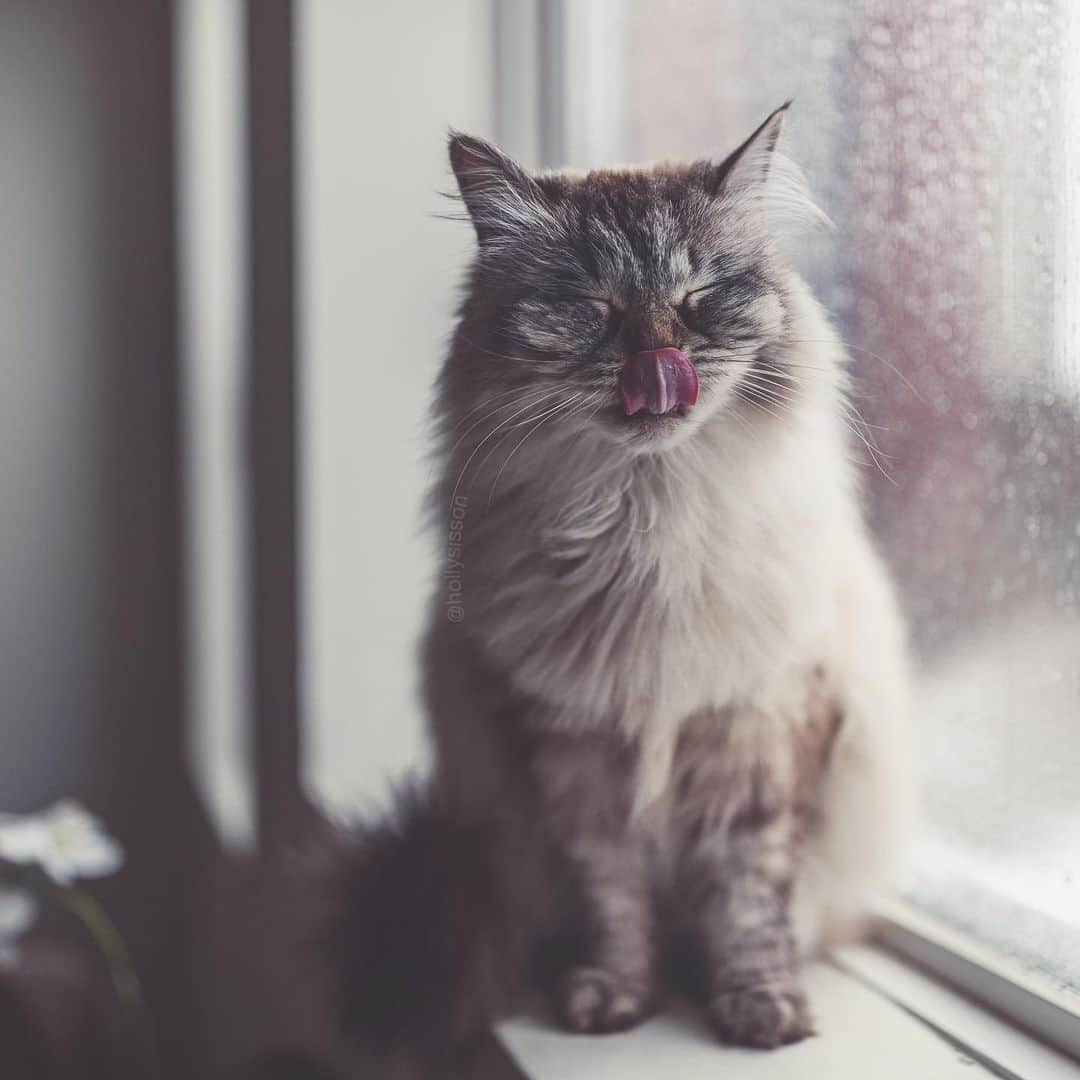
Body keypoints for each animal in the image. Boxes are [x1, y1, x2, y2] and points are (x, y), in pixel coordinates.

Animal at [330, 105, 911, 1075]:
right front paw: (612, 1003)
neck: (647, 529)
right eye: (590, 307)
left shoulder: (755, 730)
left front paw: (760, 1012)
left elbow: (749, 904)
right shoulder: (575, 755)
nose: (660, 356)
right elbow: (614, 901)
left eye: (701, 295)